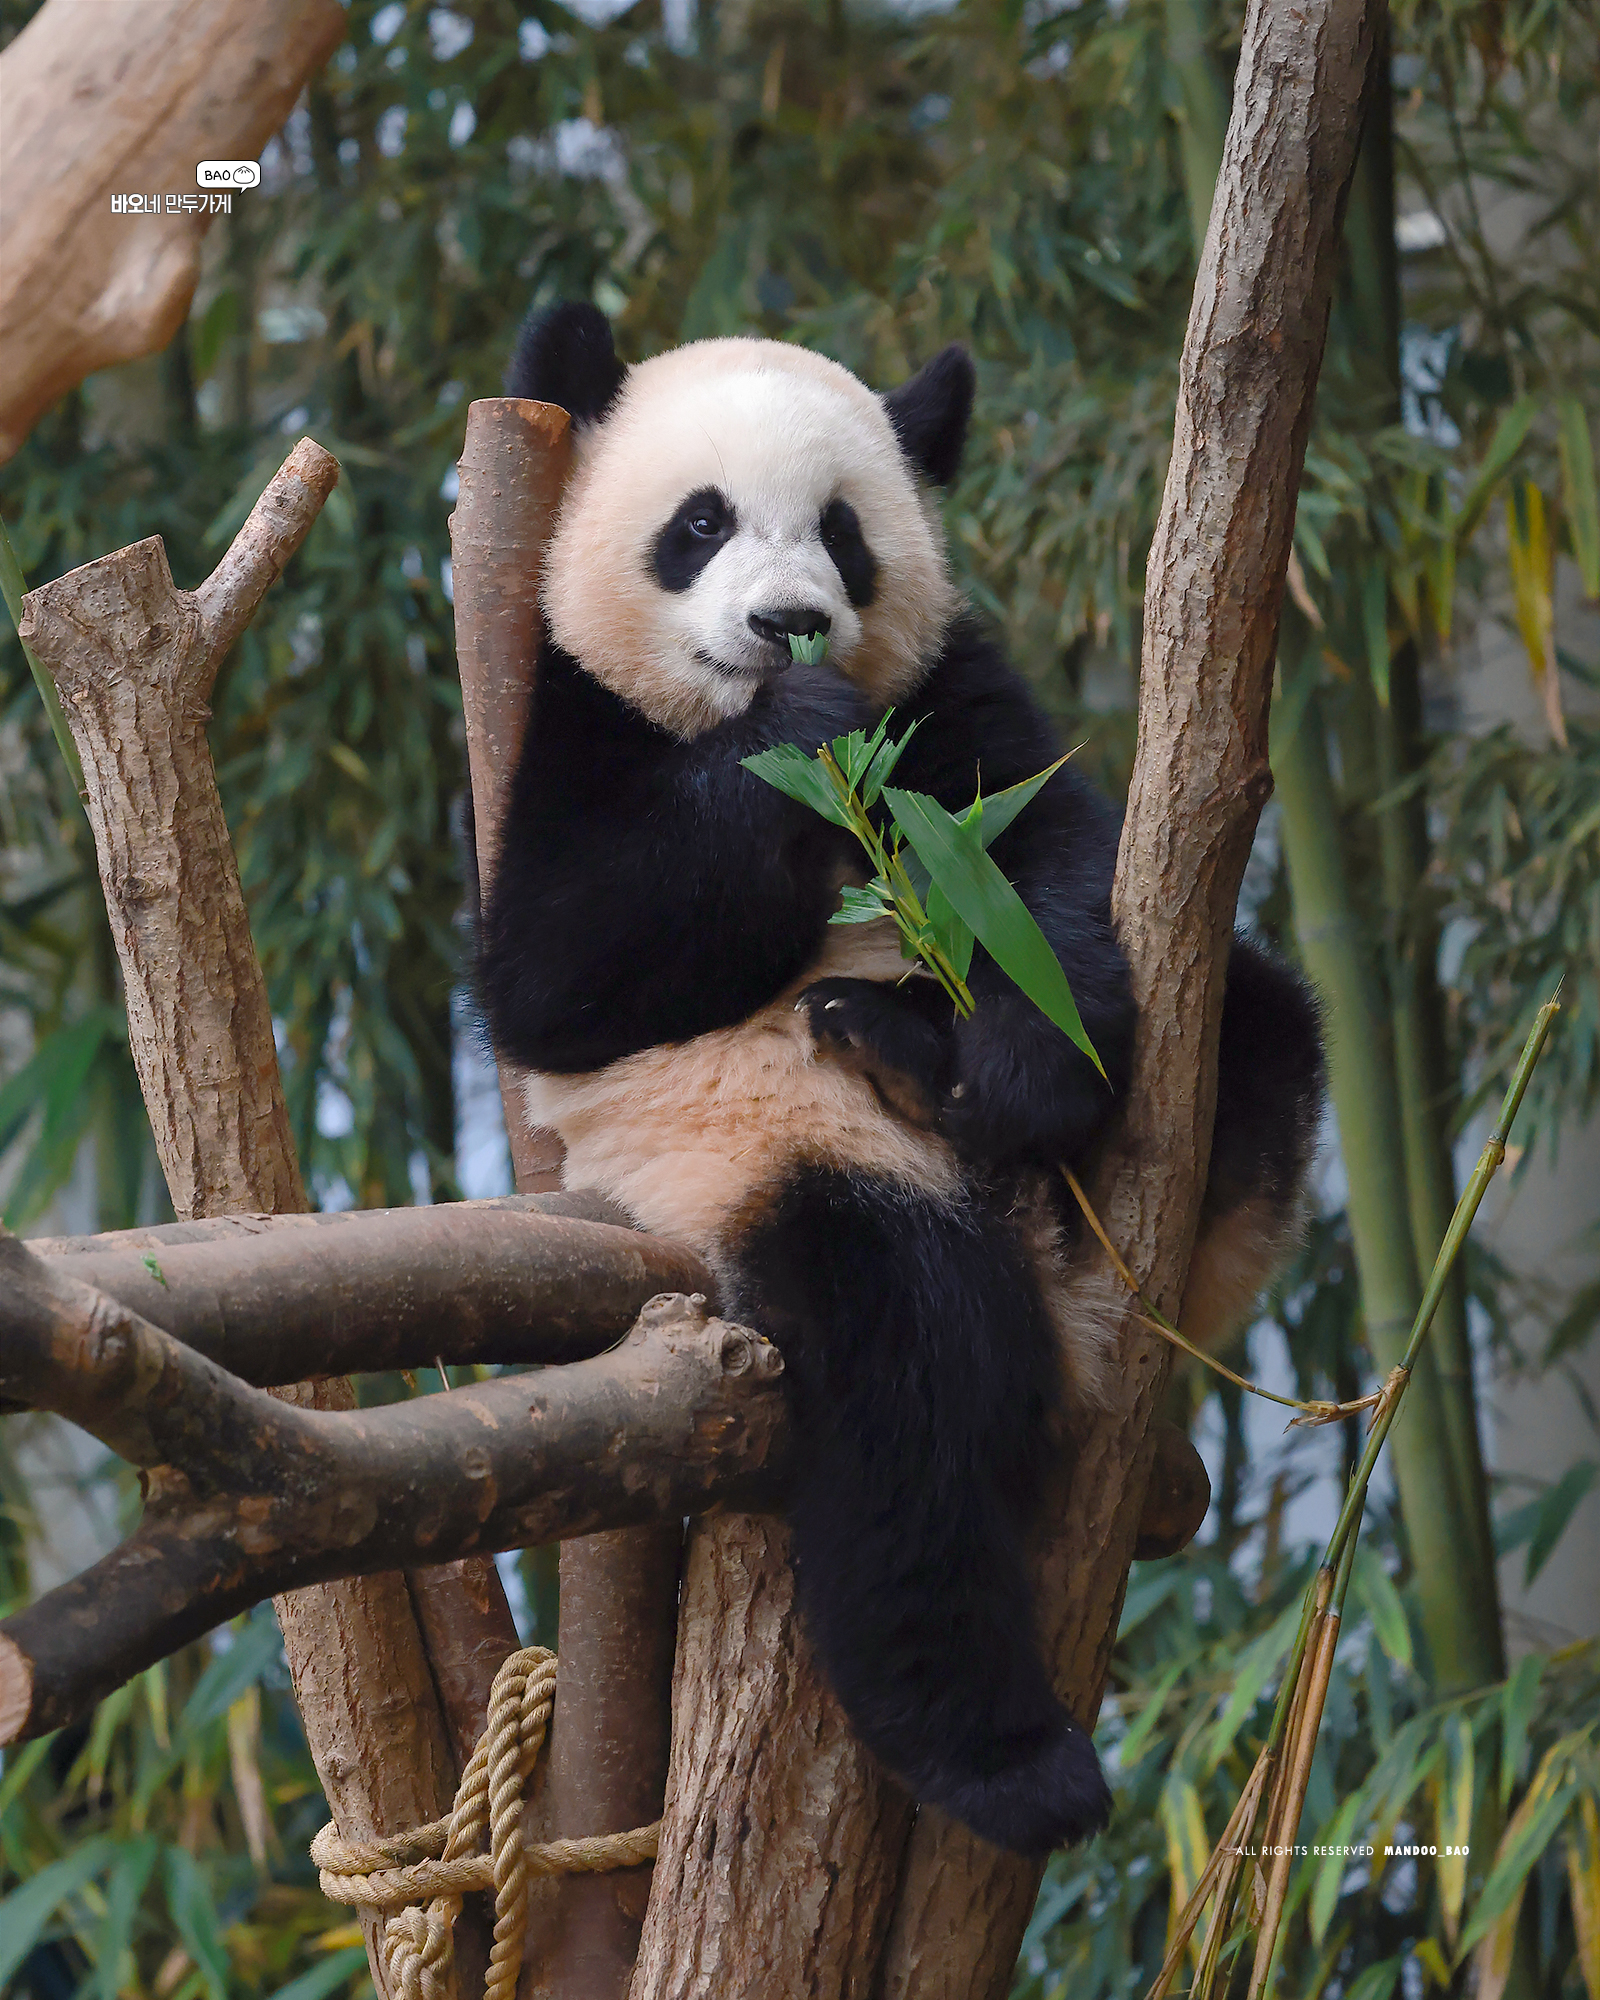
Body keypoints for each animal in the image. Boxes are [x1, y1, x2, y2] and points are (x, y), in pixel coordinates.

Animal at [478, 300, 1328, 1856]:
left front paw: (1021, 1062)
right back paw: (1011, 1765)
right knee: (905, 1394)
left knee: (1265, 1029)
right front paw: (794, 723)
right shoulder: (566, 737)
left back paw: (938, 1064)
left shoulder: (949, 700)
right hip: (787, 1171)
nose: (789, 623)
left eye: (843, 532)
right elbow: (559, 973)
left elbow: (1046, 857)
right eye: (699, 523)